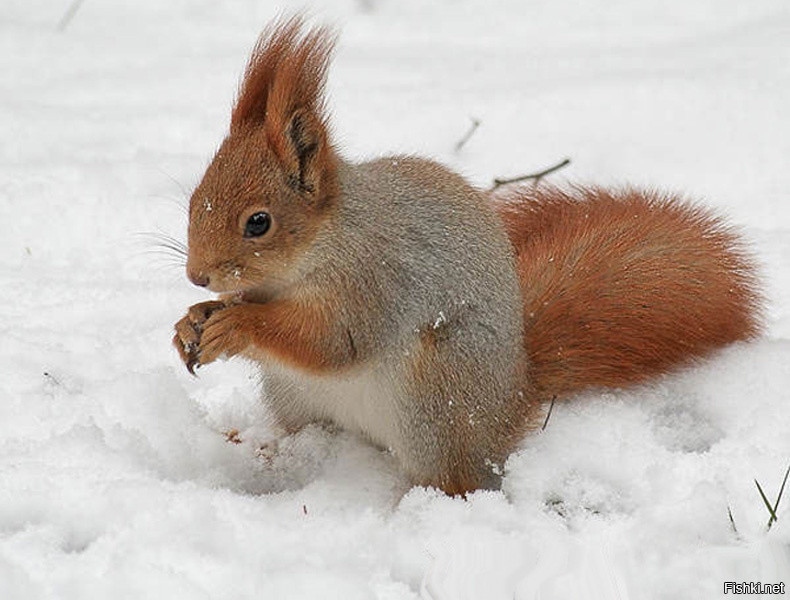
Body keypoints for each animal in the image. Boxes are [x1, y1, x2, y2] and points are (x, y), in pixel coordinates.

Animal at [170, 18, 764, 496]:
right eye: (195, 199)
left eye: (258, 222)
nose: (197, 276)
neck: (319, 249)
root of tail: (510, 402)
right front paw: (192, 321)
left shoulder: (374, 282)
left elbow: (332, 341)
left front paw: (237, 325)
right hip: (296, 397)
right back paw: (264, 449)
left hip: (436, 397)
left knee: (455, 478)